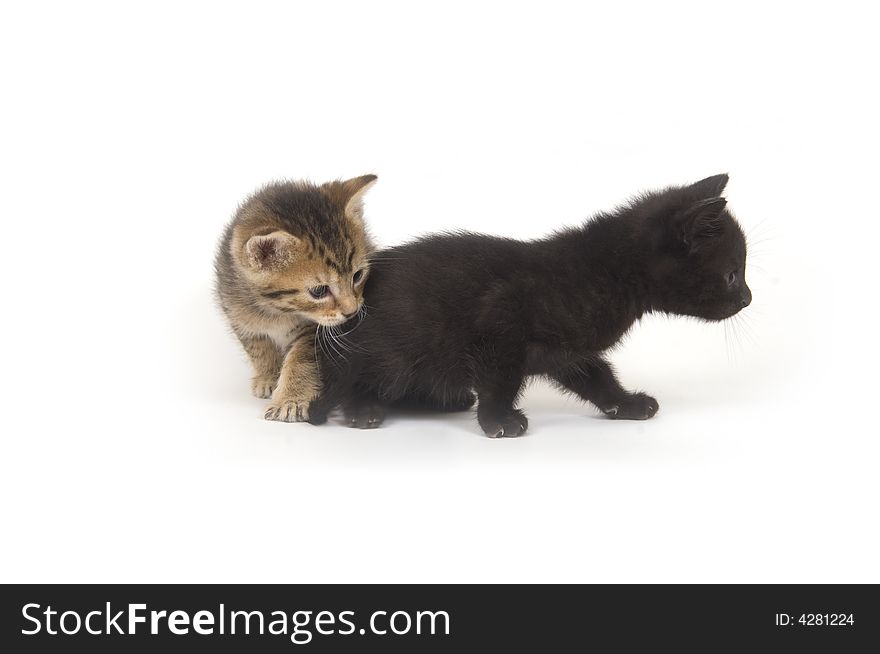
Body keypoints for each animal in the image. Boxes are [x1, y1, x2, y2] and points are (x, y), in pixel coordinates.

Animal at [217, 176, 378, 420]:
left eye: (357, 276)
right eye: (319, 291)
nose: (352, 311)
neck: (276, 310)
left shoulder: (313, 330)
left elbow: (301, 359)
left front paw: (290, 399)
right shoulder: (238, 316)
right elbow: (258, 349)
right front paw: (268, 377)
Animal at [308, 177, 748, 438]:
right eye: (732, 275)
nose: (748, 298)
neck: (606, 271)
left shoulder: (569, 351)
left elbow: (598, 376)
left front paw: (625, 404)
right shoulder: (499, 323)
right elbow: (500, 380)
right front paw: (498, 420)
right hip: (395, 355)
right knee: (356, 380)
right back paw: (363, 409)